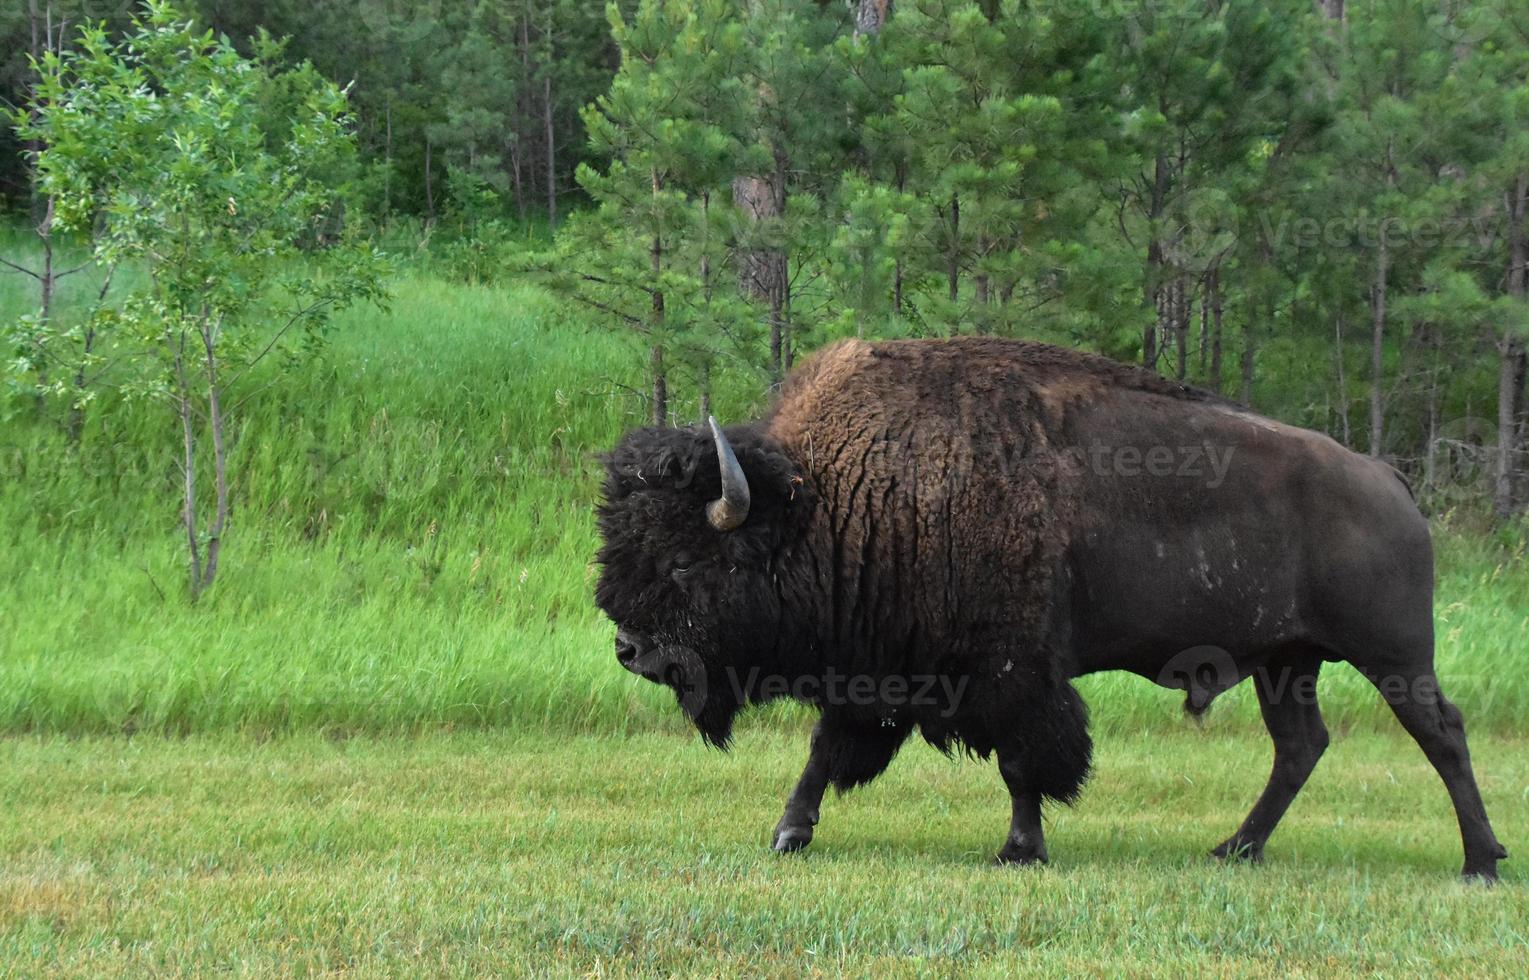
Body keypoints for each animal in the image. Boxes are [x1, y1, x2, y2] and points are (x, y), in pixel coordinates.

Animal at [593, 336, 1504, 880]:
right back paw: (1233, 849)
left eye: (685, 561)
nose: (630, 649)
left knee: (1440, 733)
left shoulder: (1014, 672)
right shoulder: (875, 670)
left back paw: (1480, 861)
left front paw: (1018, 851)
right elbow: (824, 751)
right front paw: (789, 834)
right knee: (1300, 746)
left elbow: (1025, 763)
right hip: (1287, 664)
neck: (830, 500)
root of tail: (1389, 484)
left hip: (1390, 656)